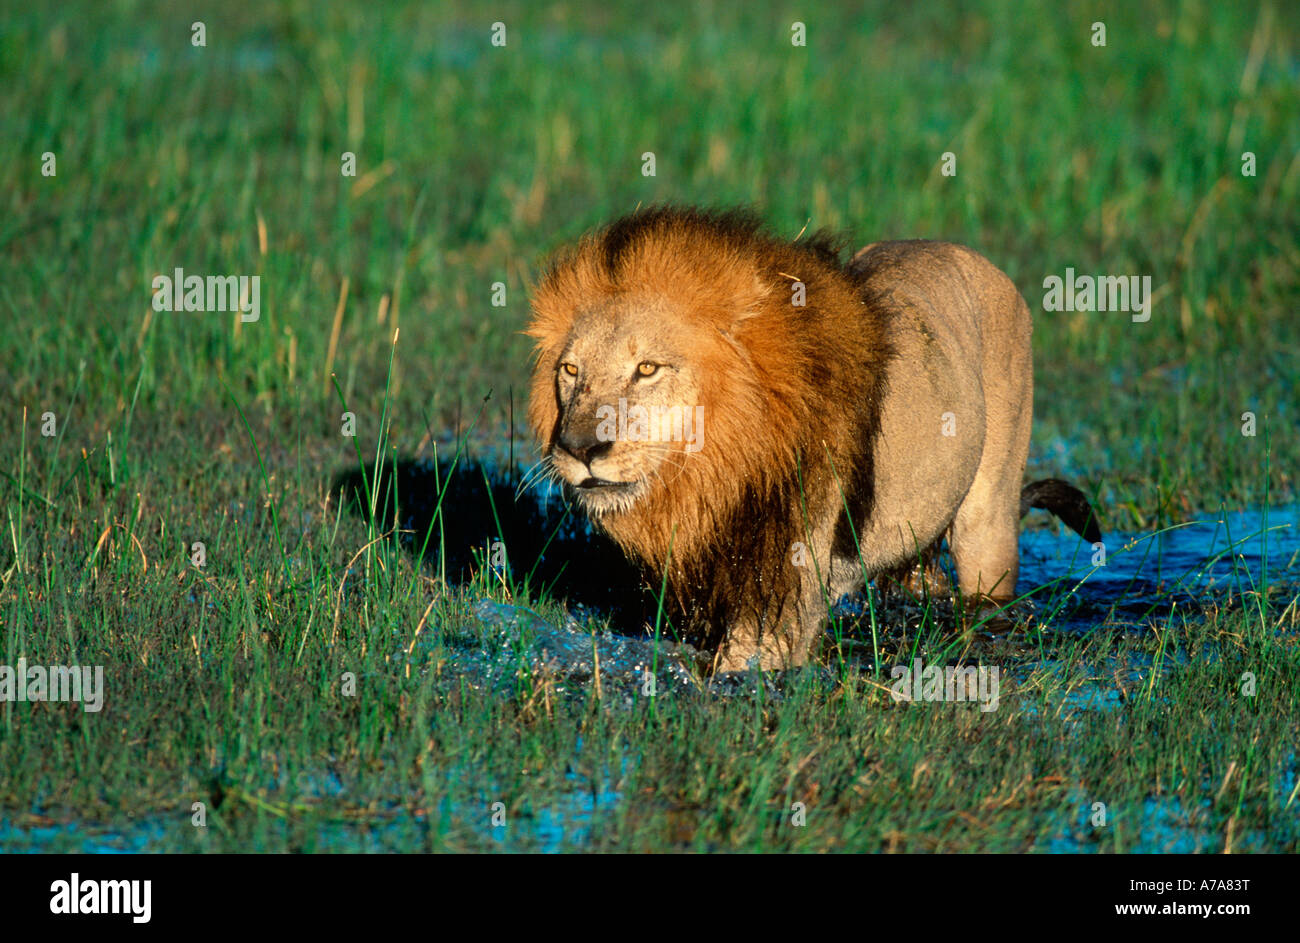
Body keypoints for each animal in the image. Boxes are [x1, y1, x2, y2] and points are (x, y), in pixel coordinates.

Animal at [525, 209, 1097, 671]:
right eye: (570, 371)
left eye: (647, 369)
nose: (578, 449)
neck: (716, 473)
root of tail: (973, 257)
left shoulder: (785, 597)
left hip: (988, 525)